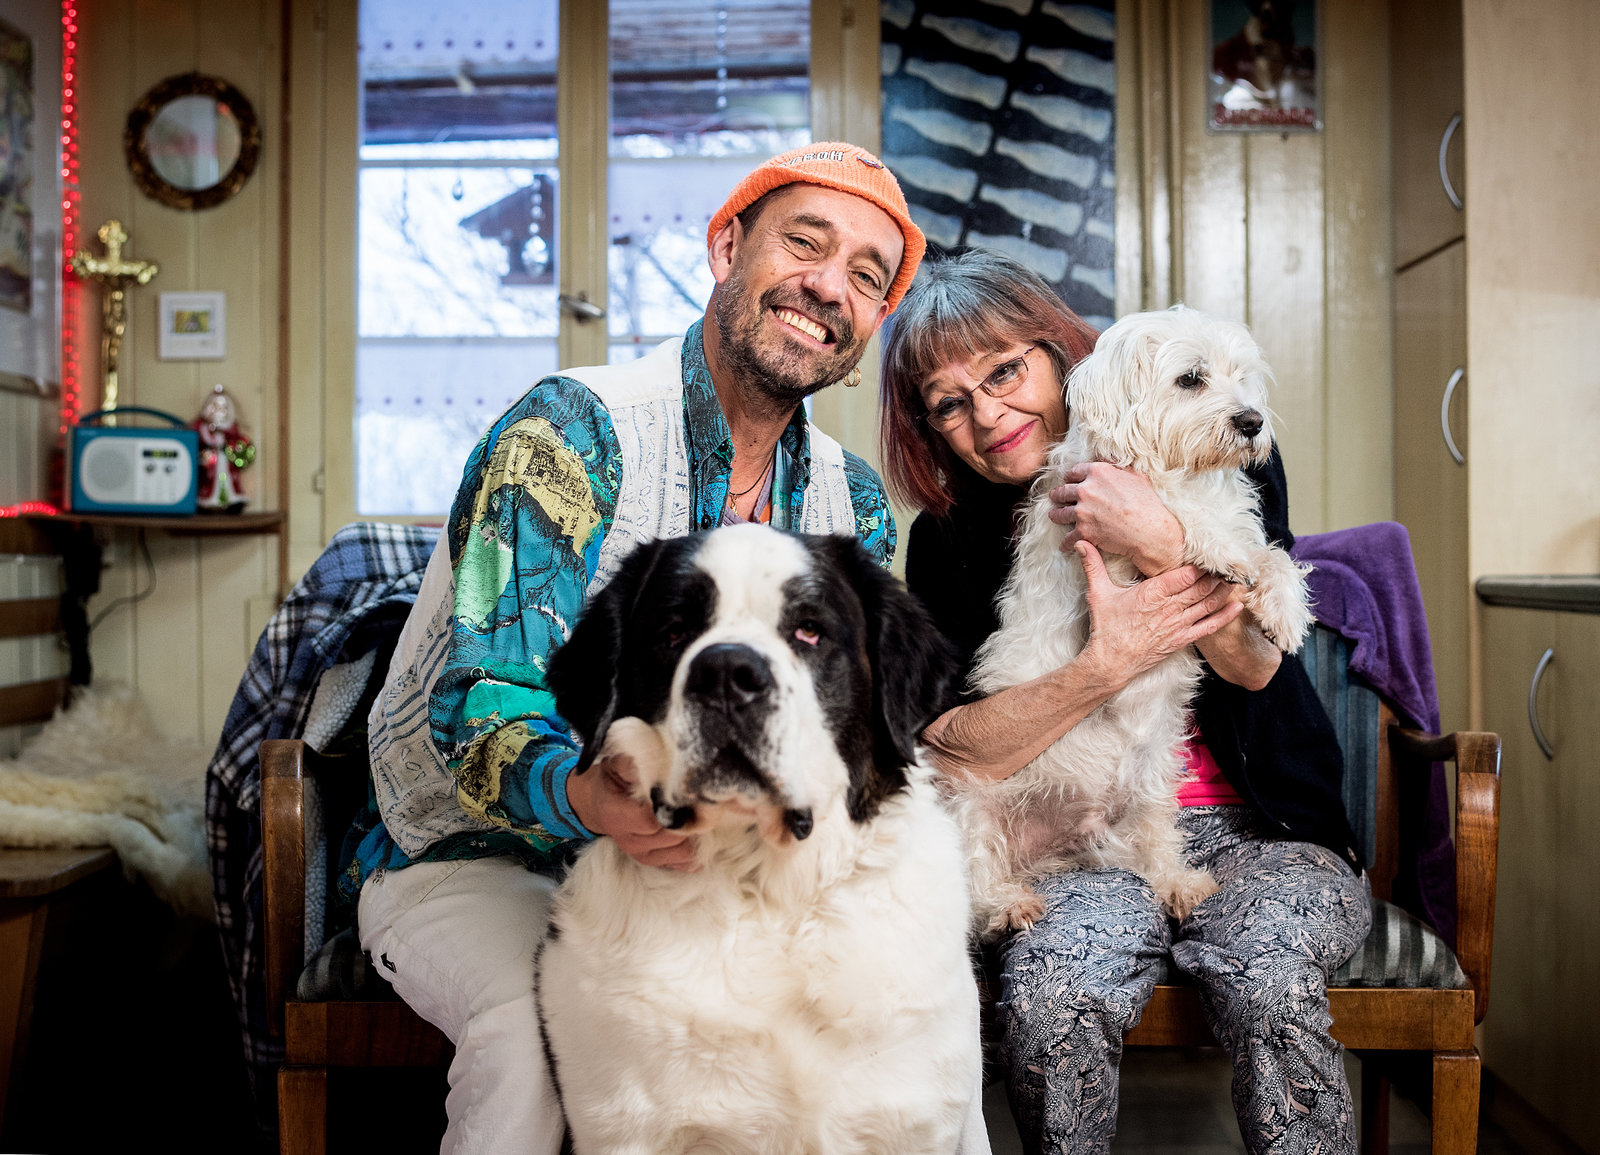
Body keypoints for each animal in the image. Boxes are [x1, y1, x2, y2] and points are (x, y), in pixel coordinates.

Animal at [538, 524, 984, 1155]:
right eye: (673, 633)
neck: (768, 896)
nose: (727, 672)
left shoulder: (919, 1121)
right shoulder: (619, 1126)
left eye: (809, 631)